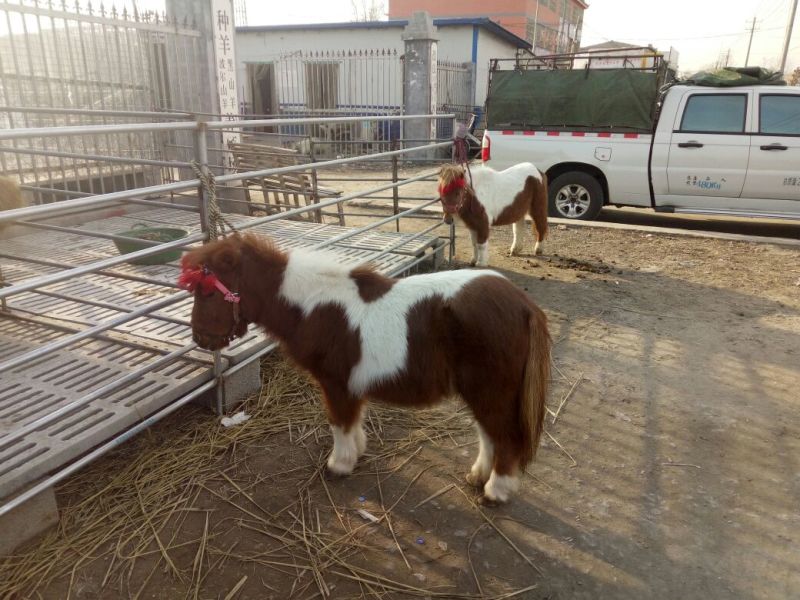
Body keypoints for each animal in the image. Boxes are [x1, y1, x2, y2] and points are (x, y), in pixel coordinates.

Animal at [181, 233, 551, 504]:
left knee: (504, 437)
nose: (200, 338)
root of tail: (524, 305)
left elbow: (339, 423)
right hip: (482, 391)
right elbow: (352, 423)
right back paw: (478, 476)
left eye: (206, 293)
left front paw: (339, 465)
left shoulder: (336, 384)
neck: (314, 306)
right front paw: (356, 452)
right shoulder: (350, 386)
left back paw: (496, 490)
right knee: (489, 434)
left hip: (491, 389)